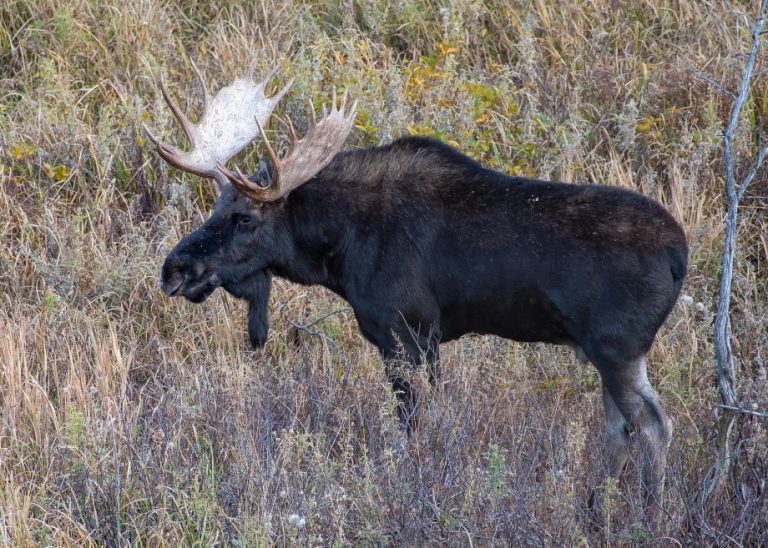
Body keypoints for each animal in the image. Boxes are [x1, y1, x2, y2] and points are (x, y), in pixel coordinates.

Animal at [146, 62, 688, 520]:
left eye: (245, 217)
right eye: (215, 208)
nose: (174, 269)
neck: (339, 246)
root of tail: (680, 256)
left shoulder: (405, 333)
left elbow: (411, 429)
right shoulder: (425, 340)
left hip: (617, 347)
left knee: (653, 426)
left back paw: (651, 517)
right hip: (605, 352)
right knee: (619, 430)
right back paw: (595, 512)